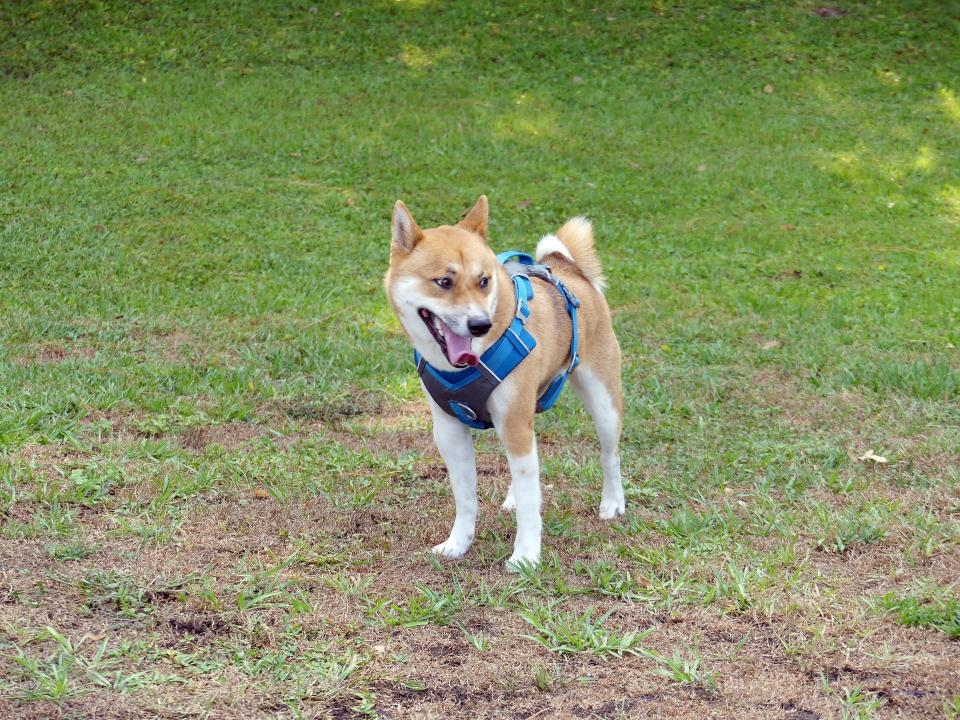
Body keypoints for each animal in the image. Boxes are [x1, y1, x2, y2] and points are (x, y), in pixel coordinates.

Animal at [386, 197, 628, 568]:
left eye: (484, 281)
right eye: (444, 282)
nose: (480, 324)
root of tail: (568, 269)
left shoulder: (513, 422)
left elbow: (531, 505)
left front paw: (526, 556)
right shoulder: (450, 431)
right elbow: (466, 497)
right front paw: (458, 543)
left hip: (603, 401)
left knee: (609, 455)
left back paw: (613, 502)